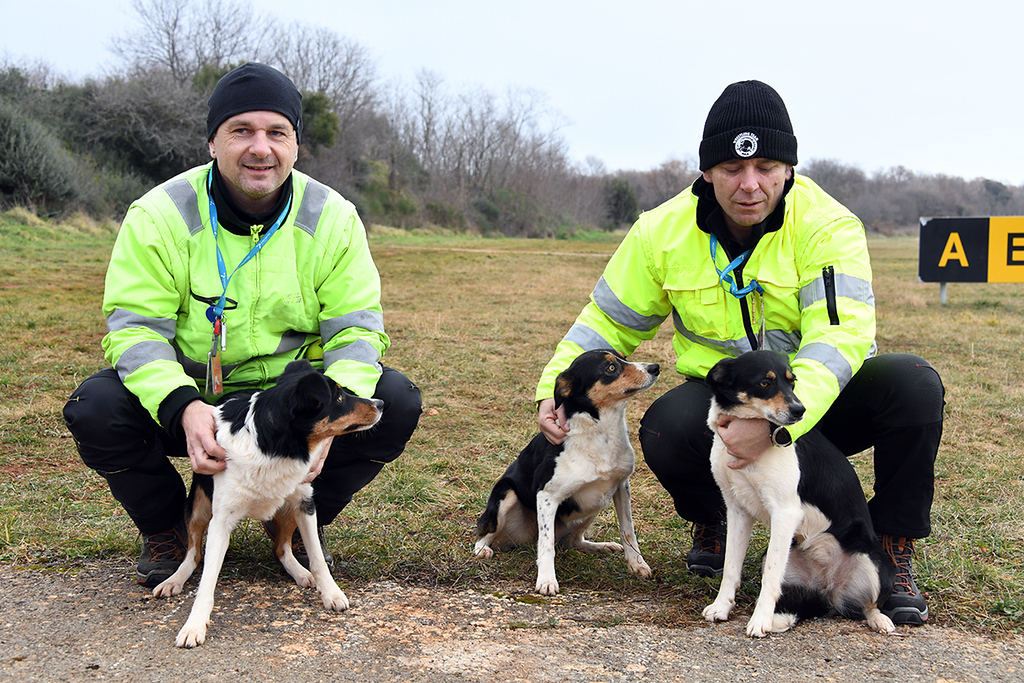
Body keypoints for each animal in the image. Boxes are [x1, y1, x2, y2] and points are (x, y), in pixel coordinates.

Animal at [153, 360, 385, 651]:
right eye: (340, 398)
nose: (380, 403)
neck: (276, 447)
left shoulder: (305, 503)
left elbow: (318, 559)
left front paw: (331, 593)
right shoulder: (220, 521)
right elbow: (207, 581)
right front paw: (194, 626)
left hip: (286, 508)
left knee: (281, 547)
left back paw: (300, 572)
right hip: (199, 506)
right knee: (193, 553)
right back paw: (174, 579)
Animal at [471, 350, 655, 593]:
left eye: (622, 357)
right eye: (610, 368)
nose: (655, 368)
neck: (600, 432)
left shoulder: (621, 487)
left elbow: (628, 531)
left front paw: (637, 564)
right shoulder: (547, 496)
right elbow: (546, 545)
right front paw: (547, 579)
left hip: (592, 507)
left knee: (574, 541)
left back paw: (600, 546)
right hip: (505, 495)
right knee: (485, 532)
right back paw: (482, 549)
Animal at [704, 350, 897, 638]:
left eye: (792, 381)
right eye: (765, 383)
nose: (800, 410)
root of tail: (830, 589)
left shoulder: (785, 512)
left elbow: (770, 578)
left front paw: (759, 620)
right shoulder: (737, 509)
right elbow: (730, 567)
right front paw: (722, 607)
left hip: (874, 562)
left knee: (869, 605)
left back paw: (880, 620)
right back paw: (780, 620)